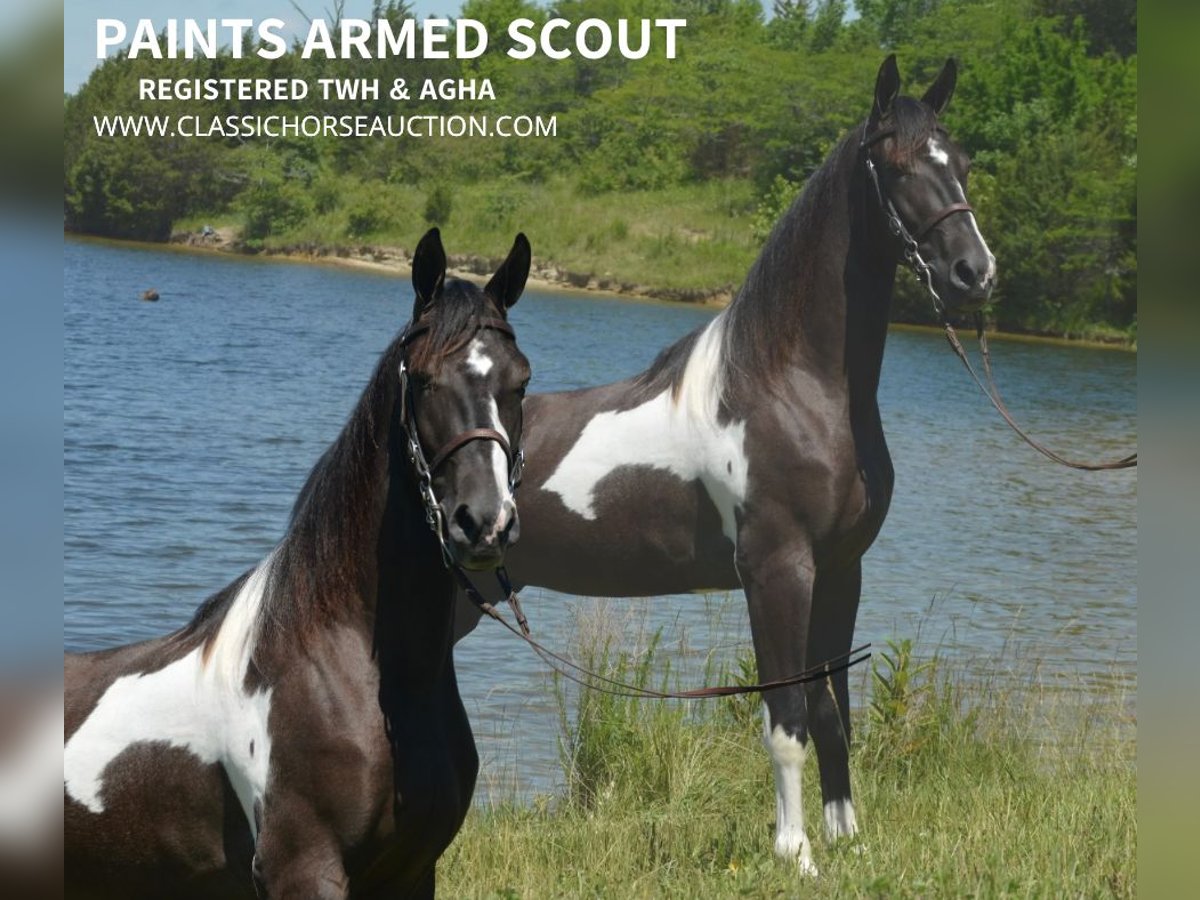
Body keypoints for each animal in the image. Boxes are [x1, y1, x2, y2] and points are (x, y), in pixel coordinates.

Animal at [456, 56, 993, 873]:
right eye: (898, 165)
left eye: (959, 162)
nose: (975, 271)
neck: (790, 386)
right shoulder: (778, 571)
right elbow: (787, 715)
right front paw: (795, 852)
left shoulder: (842, 570)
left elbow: (833, 711)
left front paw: (848, 842)